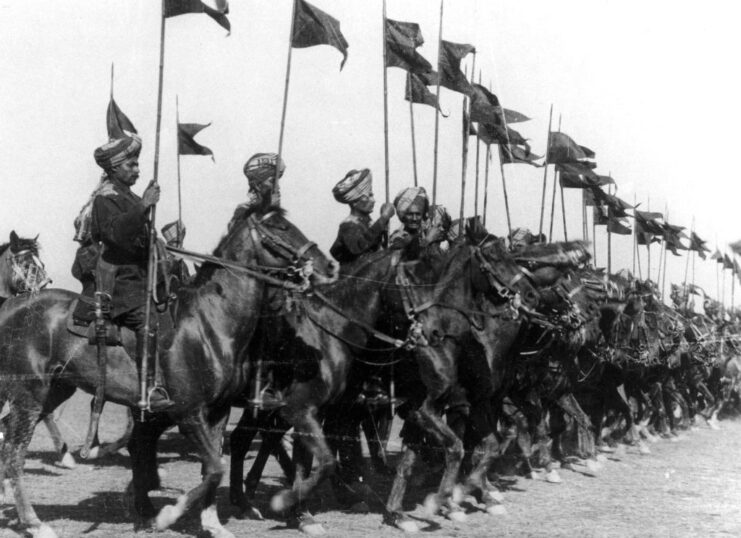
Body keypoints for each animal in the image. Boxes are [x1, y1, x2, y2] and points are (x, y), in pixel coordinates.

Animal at [0, 206, 336, 536]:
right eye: (281, 227)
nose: (329, 266)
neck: (210, 323)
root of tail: (11, 308)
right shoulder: (188, 412)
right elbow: (215, 467)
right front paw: (168, 515)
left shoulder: (219, 410)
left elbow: (212, 465)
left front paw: (211, 523)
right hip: (29, 395)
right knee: (14, 454)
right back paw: (34, 522)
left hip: (54, 391)